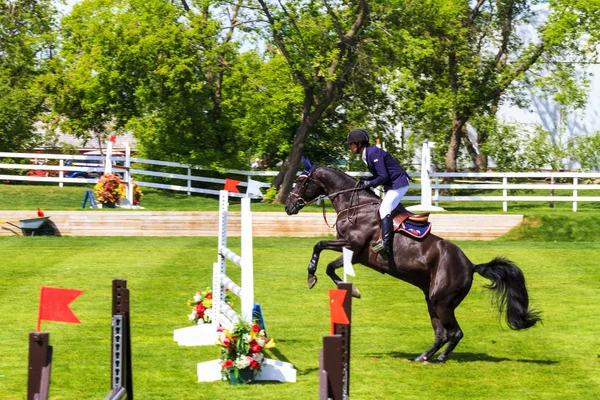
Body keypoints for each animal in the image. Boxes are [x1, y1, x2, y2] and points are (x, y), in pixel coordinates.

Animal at [284, 162, 540, 362]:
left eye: (301, 182)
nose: (288, 207)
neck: (353, 204)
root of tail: (470, 265)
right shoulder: (351, 251)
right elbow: (327, 261)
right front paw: (346, 288)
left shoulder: (354, 248)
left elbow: (319, 248)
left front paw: (315, 277)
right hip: (432, 300)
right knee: (442, 334)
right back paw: (422, 357)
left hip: (441, 301)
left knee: (454, 333)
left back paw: (439, 359)